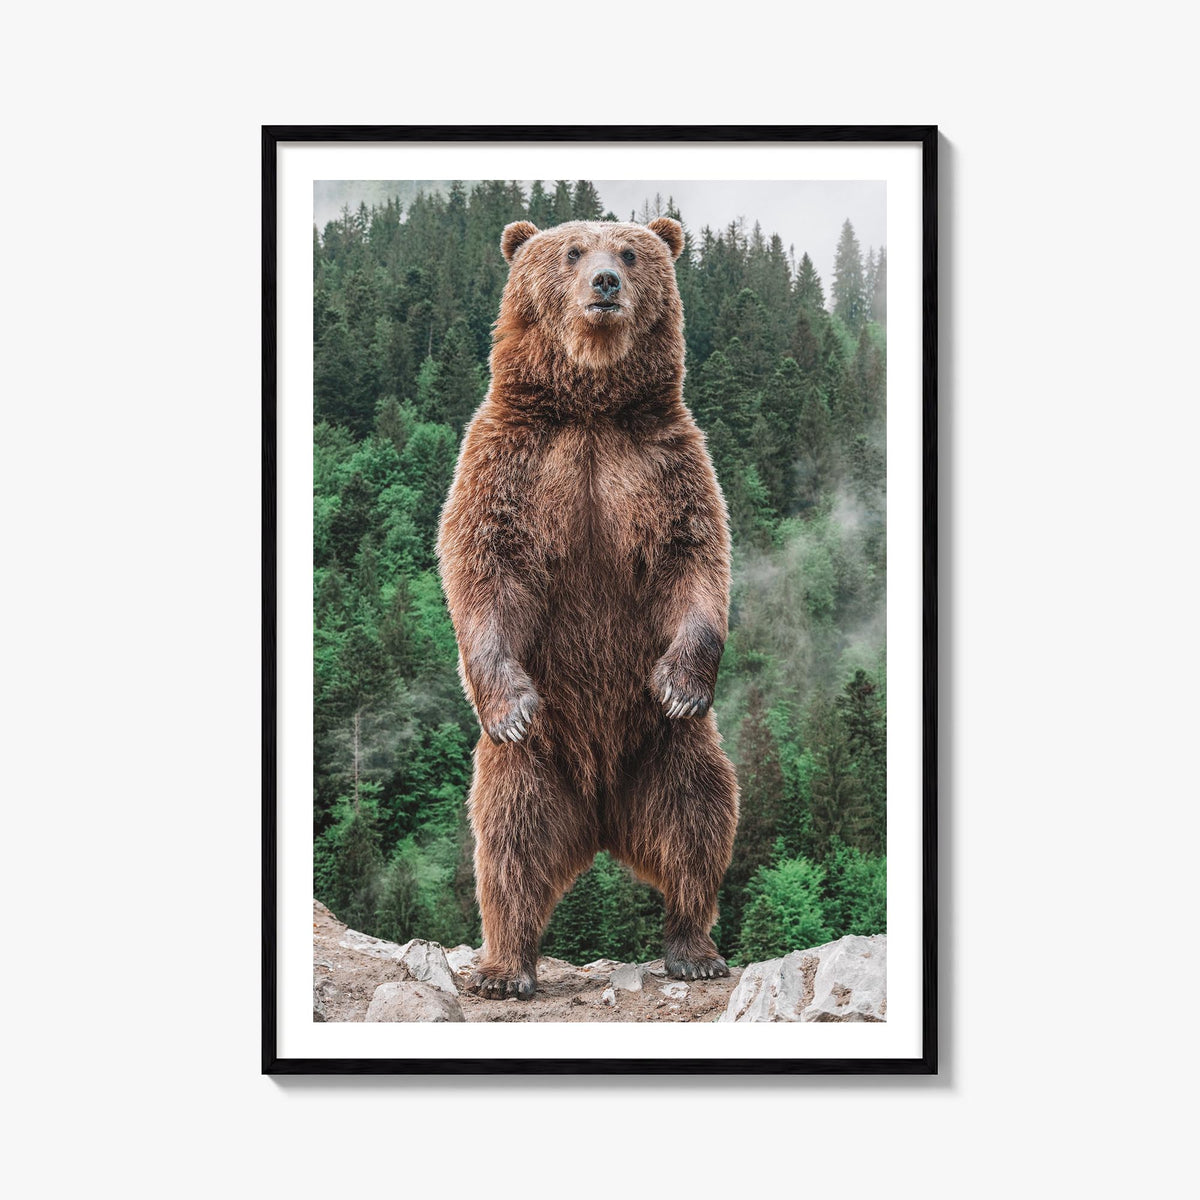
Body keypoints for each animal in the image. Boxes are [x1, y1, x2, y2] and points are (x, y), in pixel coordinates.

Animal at [436, 216, 739, 999]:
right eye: (572, 252)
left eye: (630, 252)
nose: (605, 283)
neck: (591, 408)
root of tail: (601, 817)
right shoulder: (512, 460)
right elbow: (484, 564)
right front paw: (509, 702)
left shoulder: (664, 462)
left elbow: (694, 560)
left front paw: (681, 682)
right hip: (536, 765)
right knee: (508, 843)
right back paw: (505, 967)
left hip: (665, 749)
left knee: (699, 817)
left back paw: (693, 948)